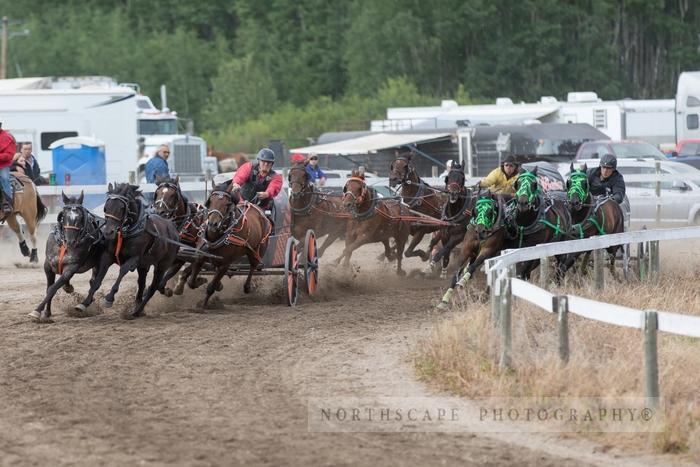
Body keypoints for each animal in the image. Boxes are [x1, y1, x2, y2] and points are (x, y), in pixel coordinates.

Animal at [29, 192, 103, 324]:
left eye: (80, 217)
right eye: (64, 216)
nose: (71, 241)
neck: (64, 244)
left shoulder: (71, 267)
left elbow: (53, 288)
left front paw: (37, 311)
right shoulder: (48, 266)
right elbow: (49, 288)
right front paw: (47, 313)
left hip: (100, 263)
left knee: (95, 283)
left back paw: (84, 304)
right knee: (92, 281)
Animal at [74, 182, 180, 318]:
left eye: (121, 208)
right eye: (106, 207)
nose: (108, 232)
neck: (126, 233)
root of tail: (172, 227)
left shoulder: (134, 259)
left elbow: (123, 270)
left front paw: (109, 298)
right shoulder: (107, 256)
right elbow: (97, 281)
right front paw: (84, 303)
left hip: (162, 266)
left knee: (152, 288)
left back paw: (138, 310)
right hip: (144, 266)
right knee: (141, 284)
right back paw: (138, 306)